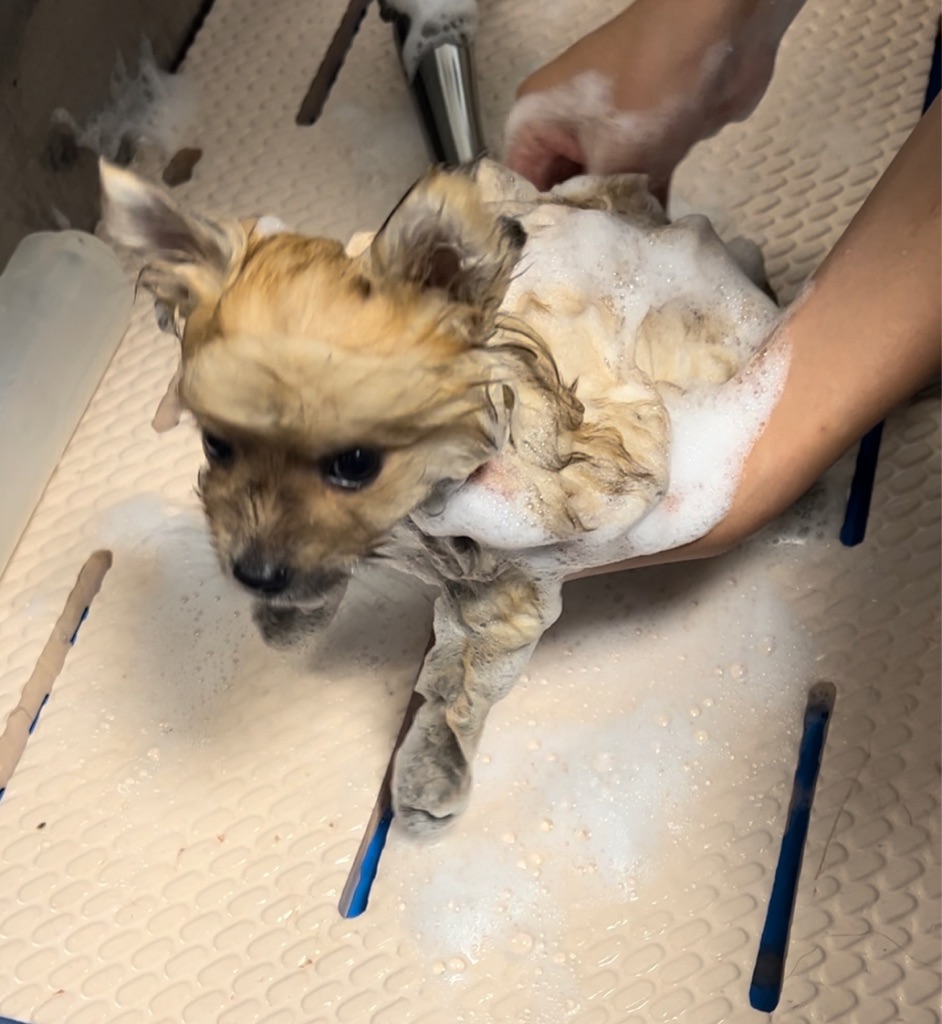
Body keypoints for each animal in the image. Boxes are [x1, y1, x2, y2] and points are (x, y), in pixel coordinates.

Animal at [100, 158, 780, 835]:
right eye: (216, 443)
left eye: (355, 463)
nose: (257, 574)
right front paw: (292, 617)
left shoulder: (528, 564)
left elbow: (469, 680)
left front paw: (436, 762)